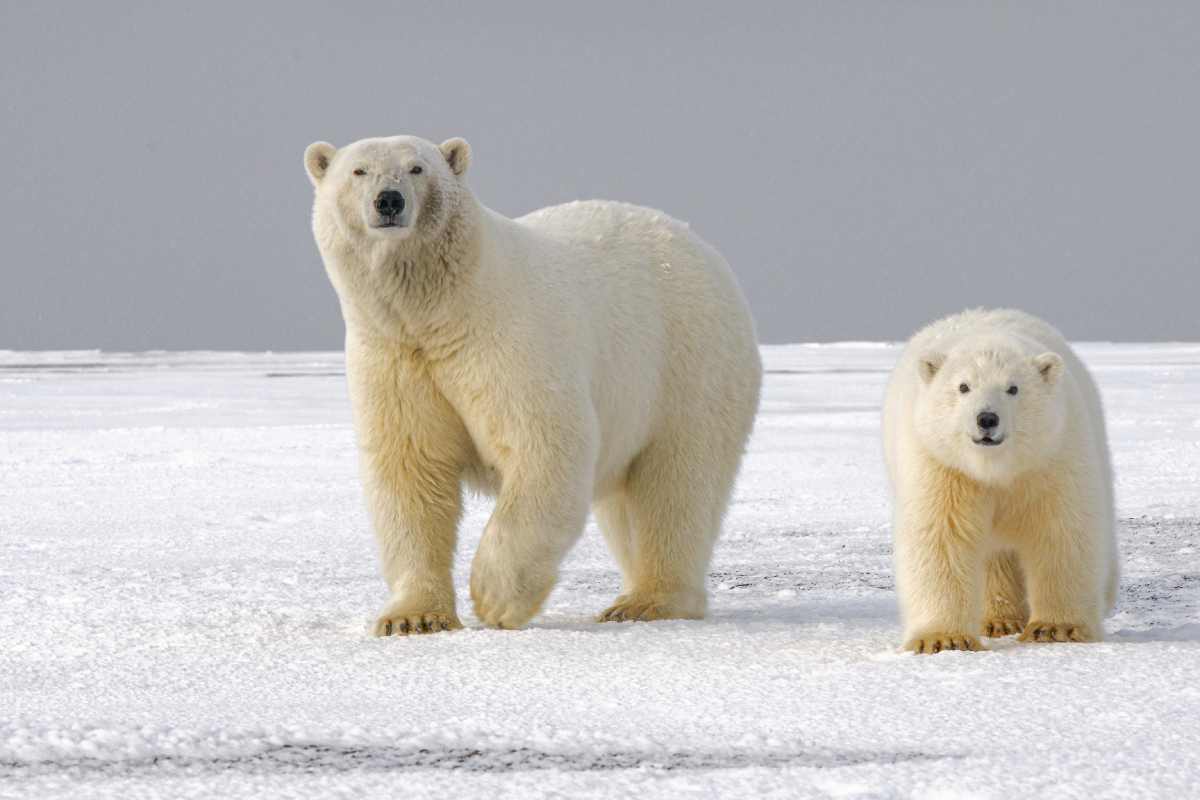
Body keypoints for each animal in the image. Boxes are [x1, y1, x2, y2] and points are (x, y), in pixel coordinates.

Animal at [307, 137, 758, 638]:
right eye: (359, 171)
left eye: (417, 168)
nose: (389, 200)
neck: (441, 311)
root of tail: (700, 246)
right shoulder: (394, 358)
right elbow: (410, 470)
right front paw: (412, 617)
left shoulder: (507, 340)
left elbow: (544, 446)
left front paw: (495, 598)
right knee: (627, 503)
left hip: (688, 363)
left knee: (676, 484)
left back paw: (648, 601)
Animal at [883, 309, 1113, 652]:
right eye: (963, 386)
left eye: (1013, 388)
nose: (987, 419)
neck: (996, 468)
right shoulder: (942, 466)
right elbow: (941, 537)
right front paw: (943, 639)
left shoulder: (1051, 457)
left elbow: (1061, 530)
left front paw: (1055, 628)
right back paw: (999, 620)